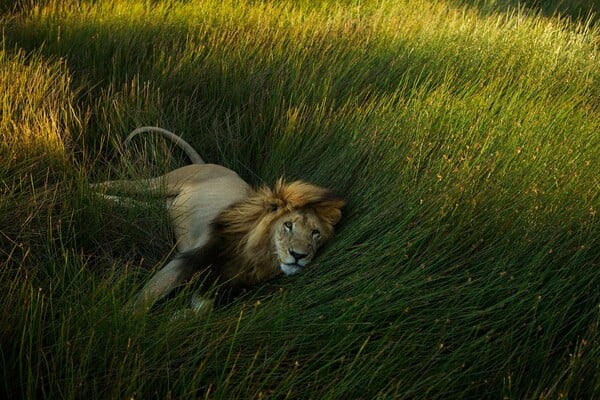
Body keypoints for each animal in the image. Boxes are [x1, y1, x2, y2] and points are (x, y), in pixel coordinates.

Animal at [91, 126, 344, 314]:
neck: (256, 259)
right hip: (162, 183)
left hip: (165, 206)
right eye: (288, 225)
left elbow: (200, 310)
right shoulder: (188, 258)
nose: (298, 256)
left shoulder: (218, 289)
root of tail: (208, 163)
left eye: (315, 234)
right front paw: (122, 323)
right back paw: (84, 189)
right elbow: (144, 298)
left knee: (125, 201)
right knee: (116, 184)